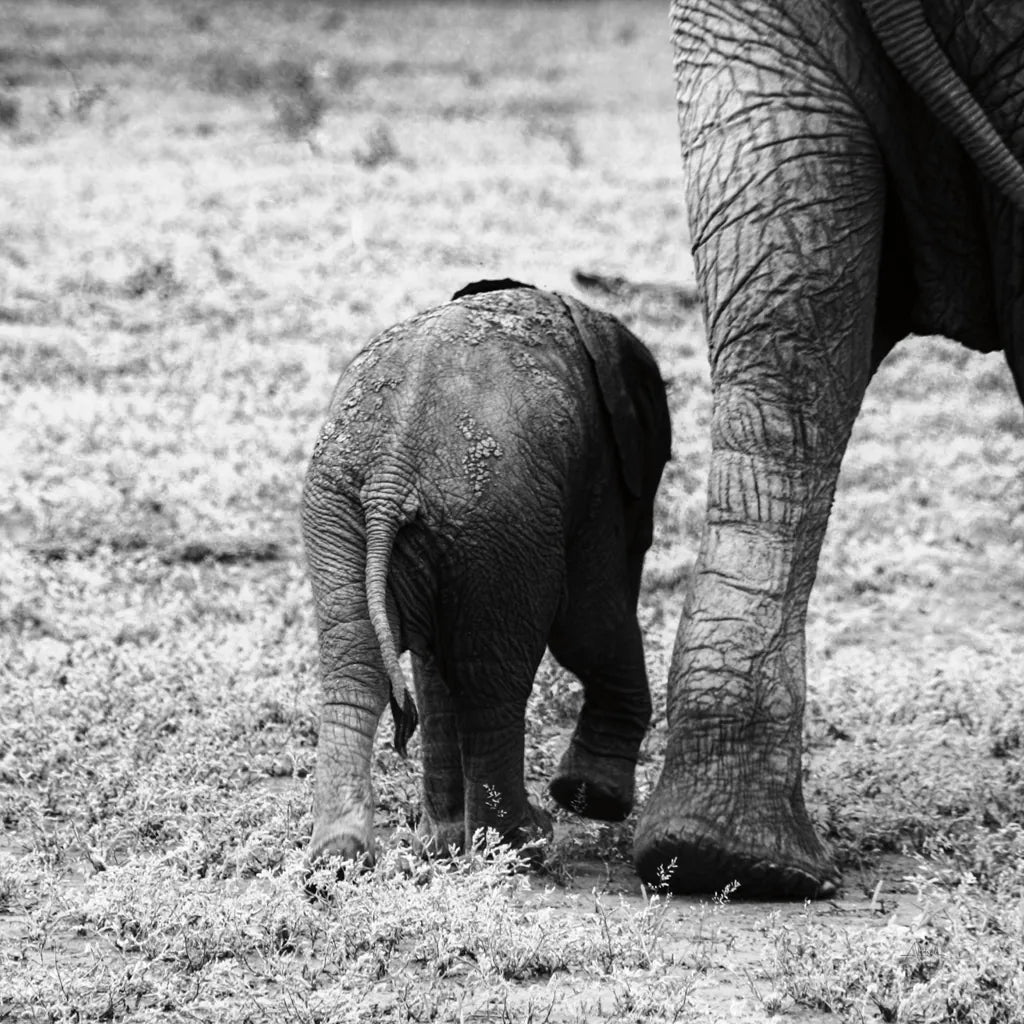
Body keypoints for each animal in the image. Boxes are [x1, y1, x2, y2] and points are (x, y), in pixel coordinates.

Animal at [303, 279, 671, 866]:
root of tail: (389, 472)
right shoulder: (599, 477)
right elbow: (591, 623)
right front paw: (594, 800)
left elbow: (433, 668)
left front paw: (444, 842)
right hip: (496, 514)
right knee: (492, 680)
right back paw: (522, 842)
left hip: (348, 509)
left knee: (356, 663)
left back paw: (342, 859)